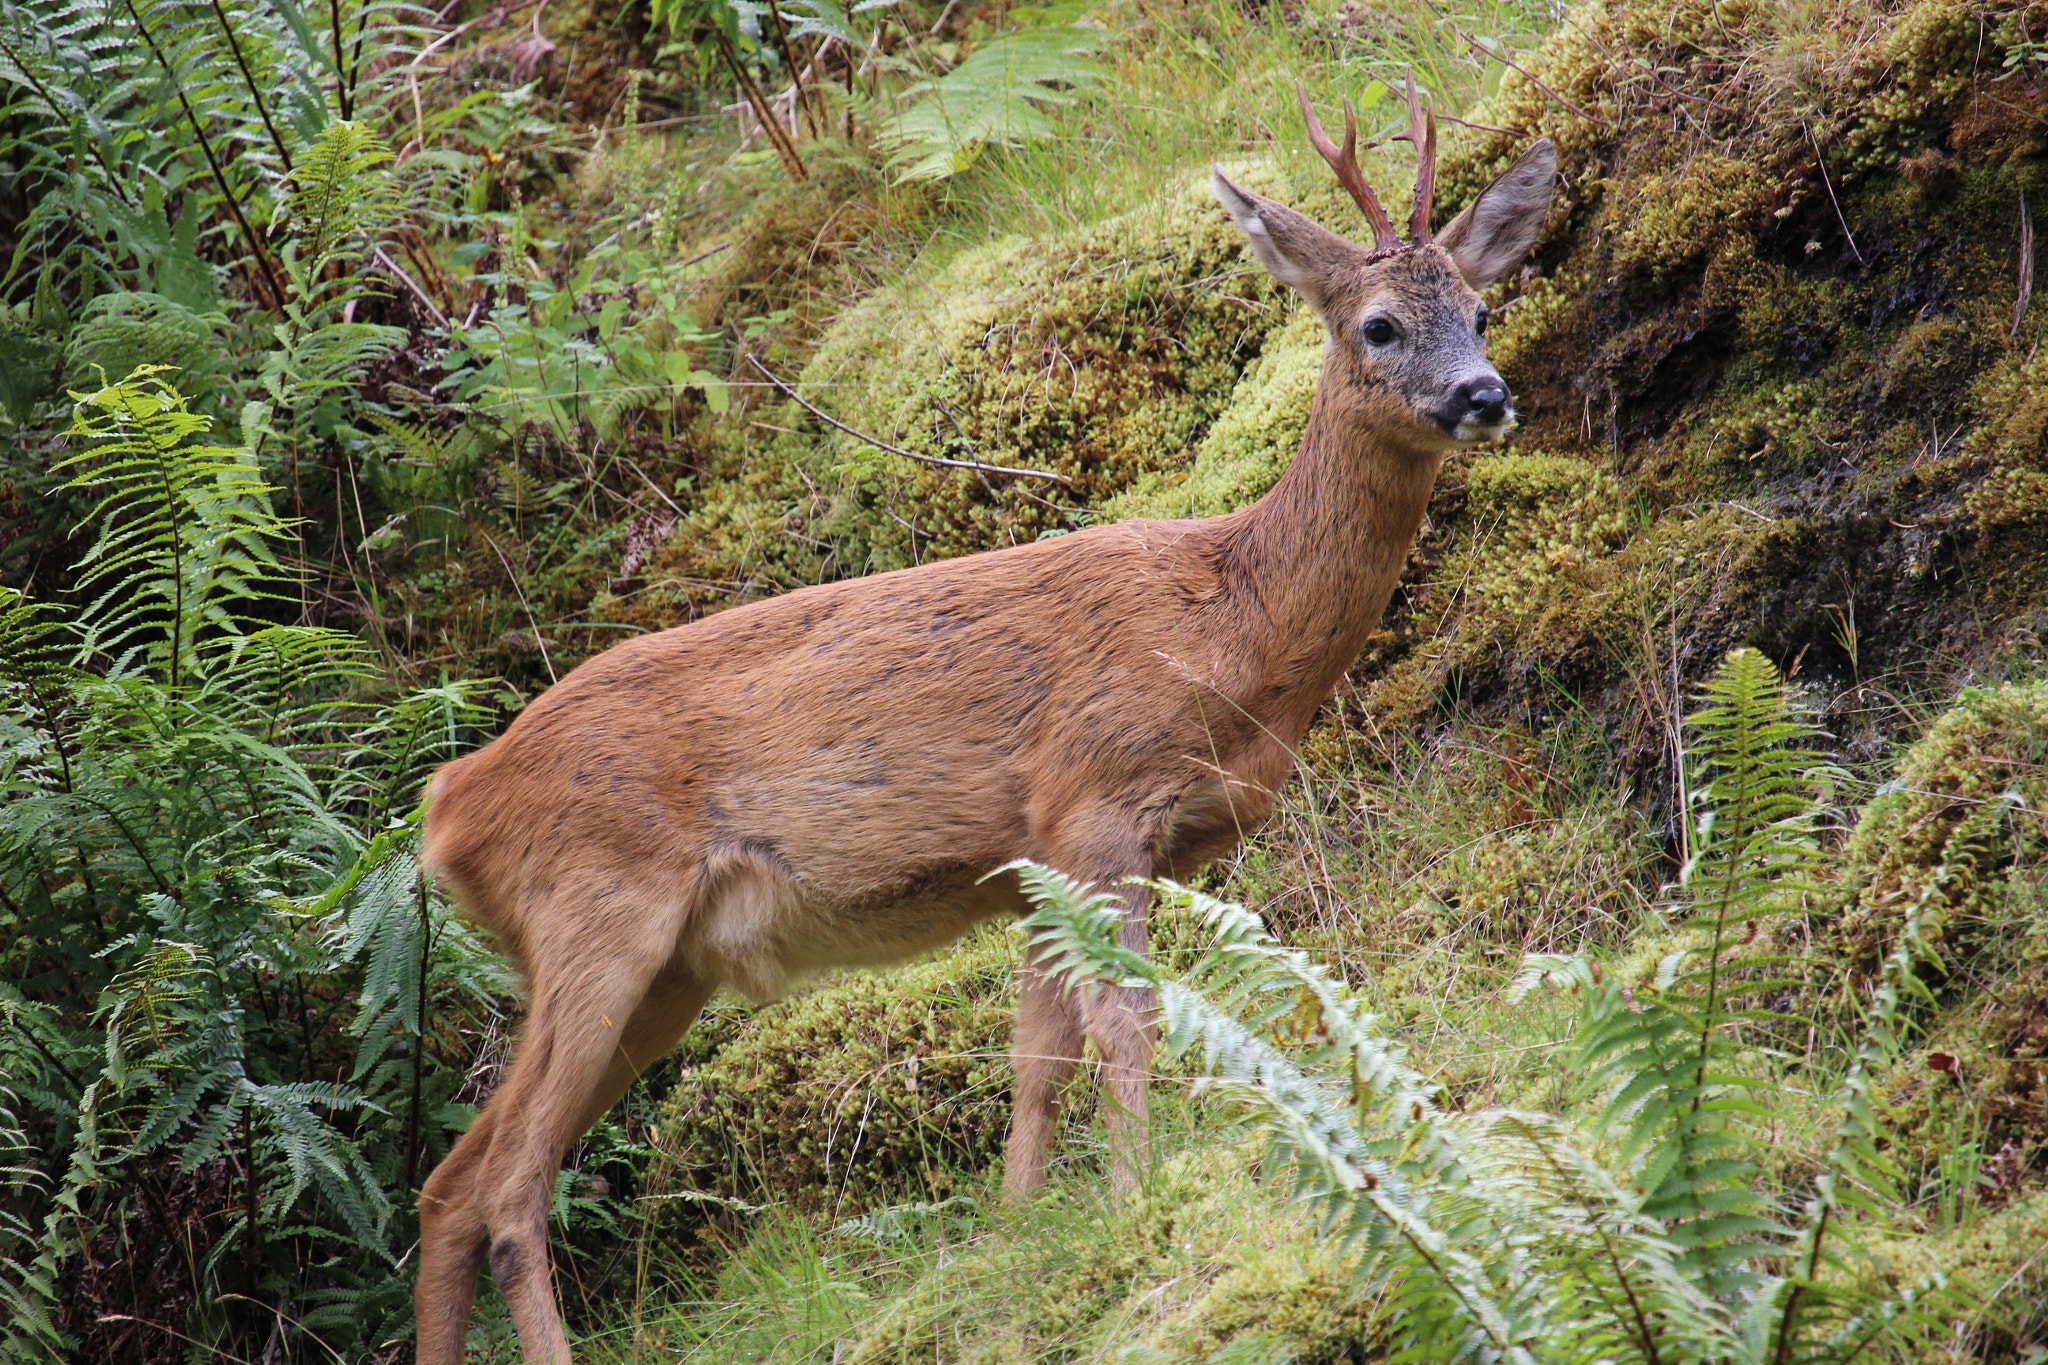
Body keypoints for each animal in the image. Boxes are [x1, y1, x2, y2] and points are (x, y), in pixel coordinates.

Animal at [413, 82, 1557, 1365]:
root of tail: (448, 804)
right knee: (508, 1179)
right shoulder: (1095, 801)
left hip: (658, 971)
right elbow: (1126, 1024)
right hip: (596, 910)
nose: (1483, 394)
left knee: (449, 1183)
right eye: (1377, 326)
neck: (1237, 626)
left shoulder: (1036, 857)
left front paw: (1019, 1234)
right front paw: (1135, 1204)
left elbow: (1035, 1057)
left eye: (1480, 307)